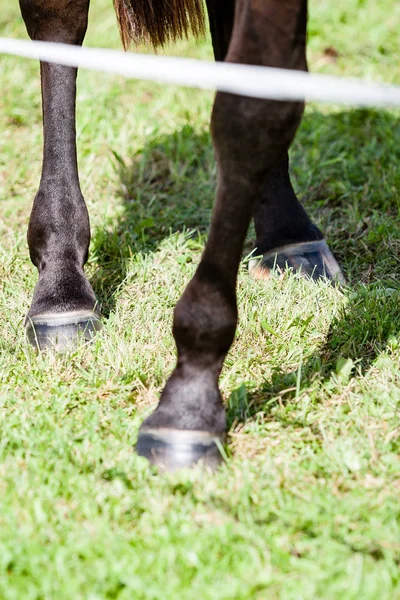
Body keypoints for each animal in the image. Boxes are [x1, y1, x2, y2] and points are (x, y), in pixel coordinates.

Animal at [18, 0, 344, 468]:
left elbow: (261, 97)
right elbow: (249, 113)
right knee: (58, 23)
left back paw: (288, 231)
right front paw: (191, 398)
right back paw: (61, 284)